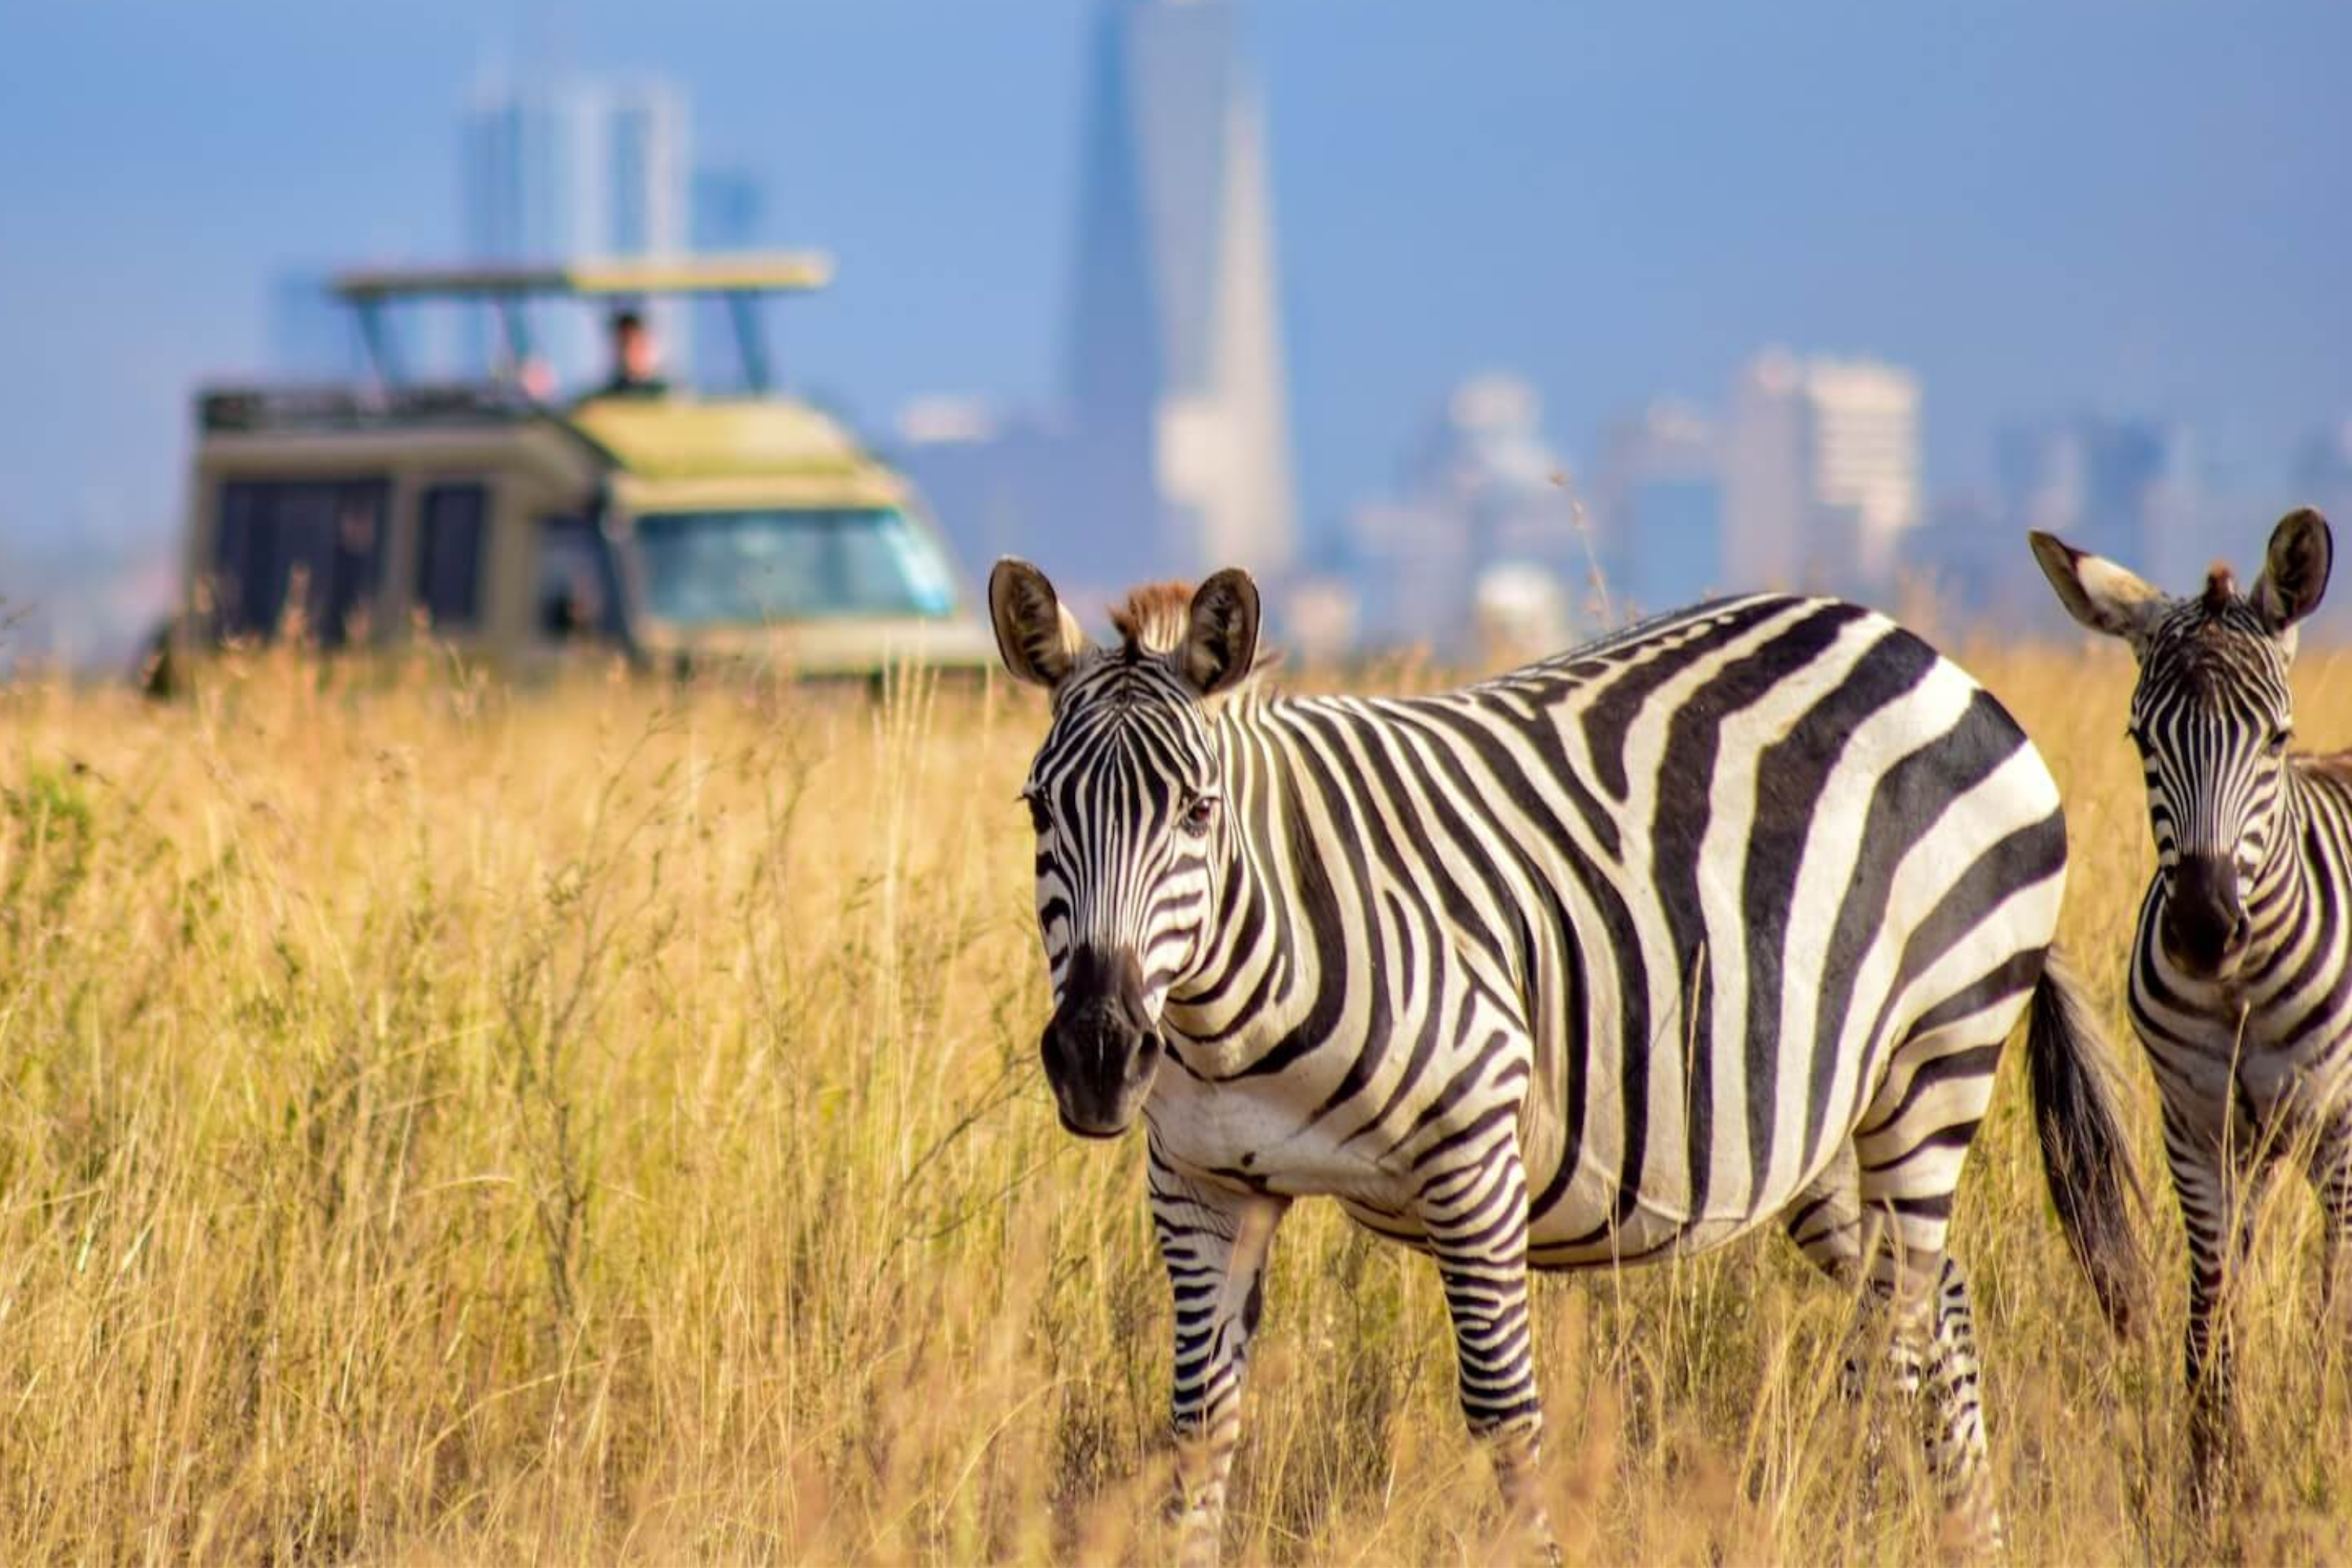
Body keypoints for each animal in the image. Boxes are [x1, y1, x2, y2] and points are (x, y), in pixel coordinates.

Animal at [990, 558, 2148, 1563]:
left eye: (1198, 811)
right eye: (1038, 810)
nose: (1098, 1055)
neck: (1230, 1006)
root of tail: (1920, 651)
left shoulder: (1472, 1151)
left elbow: (1505, 1417)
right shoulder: (1202, 1183)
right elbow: (1198, 1426)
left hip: (1938, 1052)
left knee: (1896, 1335)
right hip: (1811, 1116)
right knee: (1938, 1297)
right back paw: (1972, 1539)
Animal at [2031, 507, 2347, 1498]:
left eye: (2276, 737)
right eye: (2140, 739)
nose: (2205, 927)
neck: (2241, 986)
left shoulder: (2341, 1129)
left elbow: (2333, 1302)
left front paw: (2322, 1441)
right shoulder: (2196, 1124)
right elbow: (2210, 1310)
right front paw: (2213, 1475)